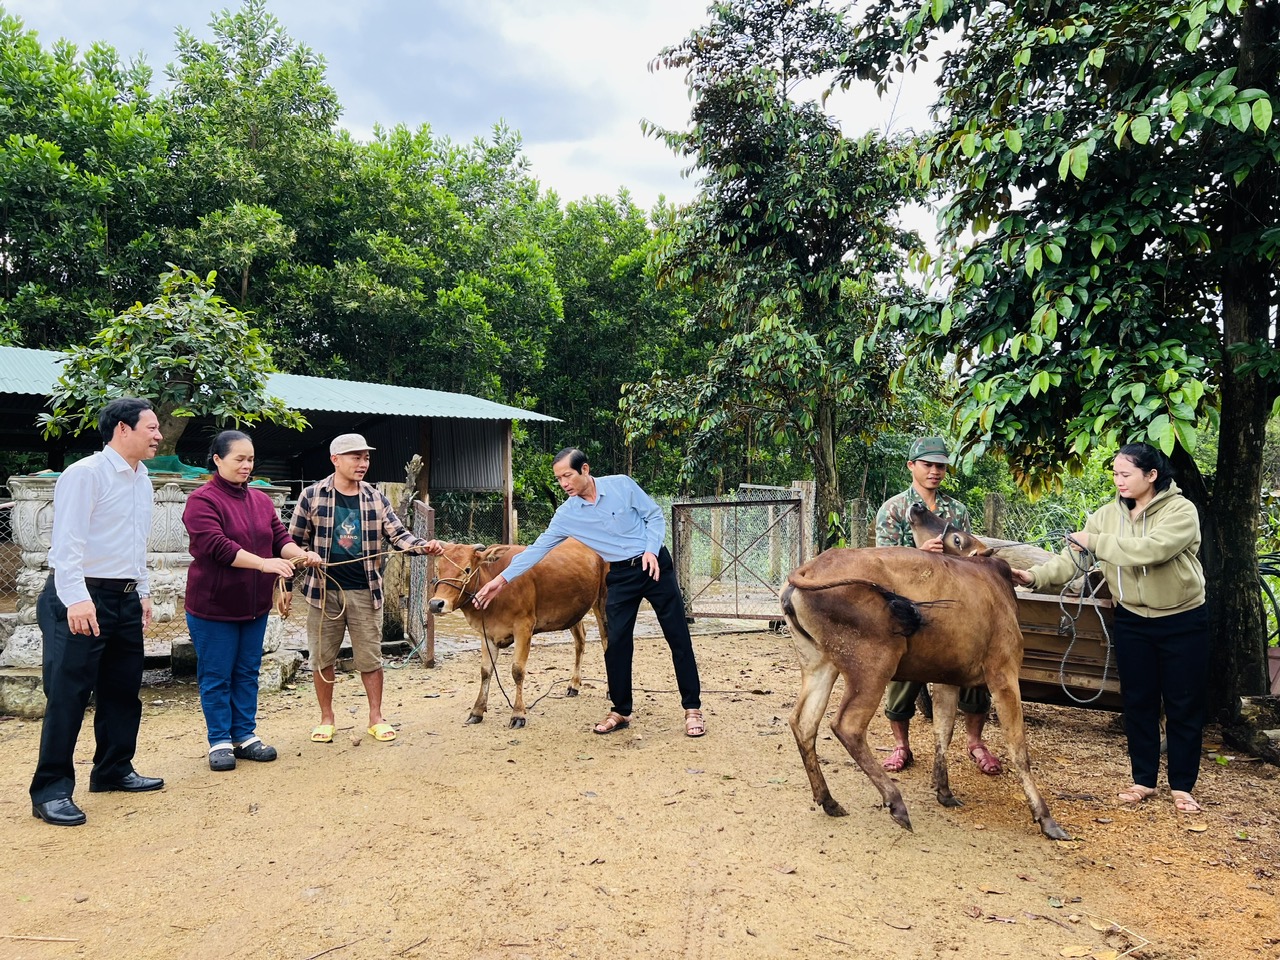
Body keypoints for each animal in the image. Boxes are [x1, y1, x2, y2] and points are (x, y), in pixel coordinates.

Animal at [427, 542, 606, 727]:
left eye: (467, 569)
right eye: (438, 568)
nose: (436, 604)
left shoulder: (524, 627)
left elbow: (517, 671)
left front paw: (518, 714)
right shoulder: (487, 634)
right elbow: (486, 671)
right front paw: (477, 711)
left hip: (602, 602)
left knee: (606, 641)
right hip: (574, 612)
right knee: (580, 640)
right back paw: (574, 685)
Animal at [778, 547, 1070, 839]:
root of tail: (808, 570)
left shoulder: (948, 679)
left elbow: (943, 731)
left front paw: (944, 791)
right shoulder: (1003, 672)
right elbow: (1018, 747)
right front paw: (1045, 818)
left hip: (819, 663)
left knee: (803, 722)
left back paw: (828, 800)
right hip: (874, 666)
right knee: (846, 726)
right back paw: (895, 802)